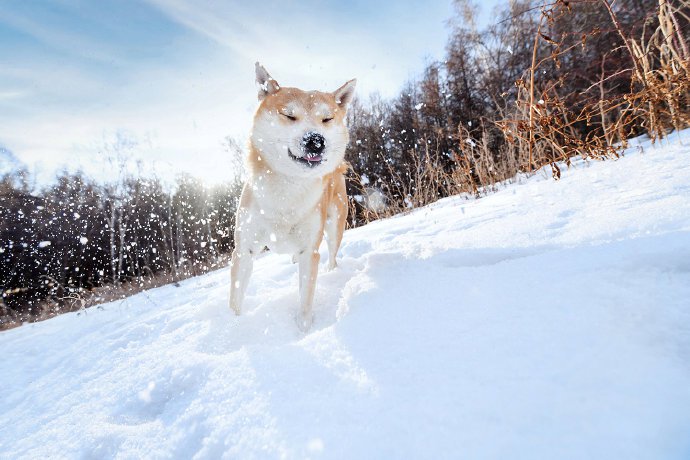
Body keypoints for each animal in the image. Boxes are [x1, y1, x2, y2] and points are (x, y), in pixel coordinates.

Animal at [230, 63, 354, 330]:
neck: (287, 188)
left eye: (326, 119)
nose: (316, 141)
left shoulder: (310, 251)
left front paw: (304, 331)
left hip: (335, 226)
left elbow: (305, 302)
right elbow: (235, 300)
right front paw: (232, 327)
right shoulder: (244, 250)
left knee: (332, 255)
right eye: (289, 115)